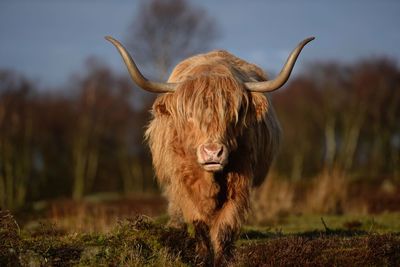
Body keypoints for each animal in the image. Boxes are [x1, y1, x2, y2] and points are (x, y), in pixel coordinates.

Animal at [107, 36, 316, 266]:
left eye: (233, 115)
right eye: (189, 115)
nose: (213, 153)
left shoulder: (240, 181)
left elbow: (225, 225)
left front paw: (224, 259)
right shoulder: (184, 182)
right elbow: (198, 221)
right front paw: (201, 257)